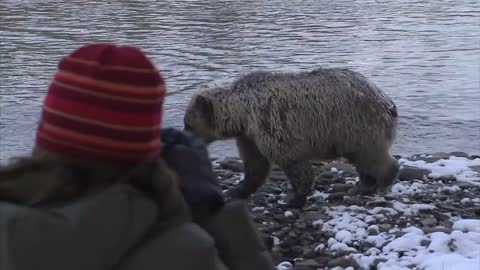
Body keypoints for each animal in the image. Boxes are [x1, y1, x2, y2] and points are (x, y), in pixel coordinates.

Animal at [182, 68, 400, 209]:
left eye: (189, 124)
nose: (185, 136)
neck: (242, 115)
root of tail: (387, 101)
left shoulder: (271, 123)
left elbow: (293, 162)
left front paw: (293, 199)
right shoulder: (250, 137)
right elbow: (255, 165)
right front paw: (235, 191)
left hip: (357, 125)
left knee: (370, 156)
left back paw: (382, 181)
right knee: (362, 159)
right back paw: (363, 185)